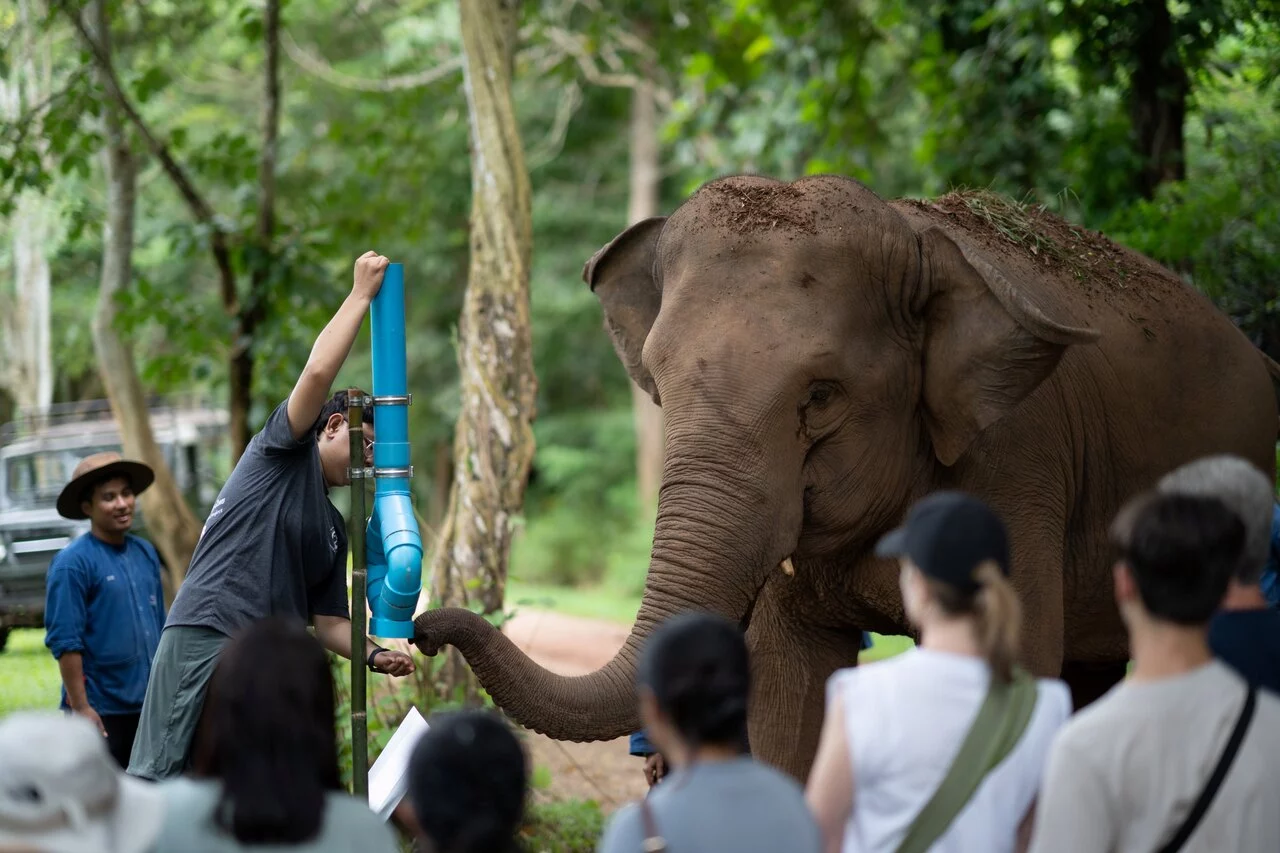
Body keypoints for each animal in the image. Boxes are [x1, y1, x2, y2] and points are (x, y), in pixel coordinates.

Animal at [414, 173, 1280, 782]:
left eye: (821, 395)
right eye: (656, 378)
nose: (422, 629)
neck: (924, 241)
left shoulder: (1020, 465)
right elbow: (786, 697)